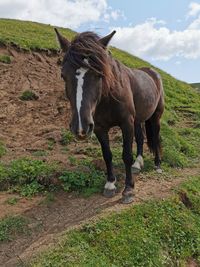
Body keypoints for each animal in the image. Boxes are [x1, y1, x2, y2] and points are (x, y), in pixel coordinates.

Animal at [54, 29, 164, 204]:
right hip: (138, 120)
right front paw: (110, 184)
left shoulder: (126, 123)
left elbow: (126, 154)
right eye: (63, 75)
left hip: (155, 117)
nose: (80, 127)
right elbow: (107, 155)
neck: (108, 97)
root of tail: (152, 72)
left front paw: (128, 189)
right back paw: (137, 164)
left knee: (156, 136)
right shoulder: (99, 128)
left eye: (99, 74)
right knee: (140, 138)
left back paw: (158, 165)